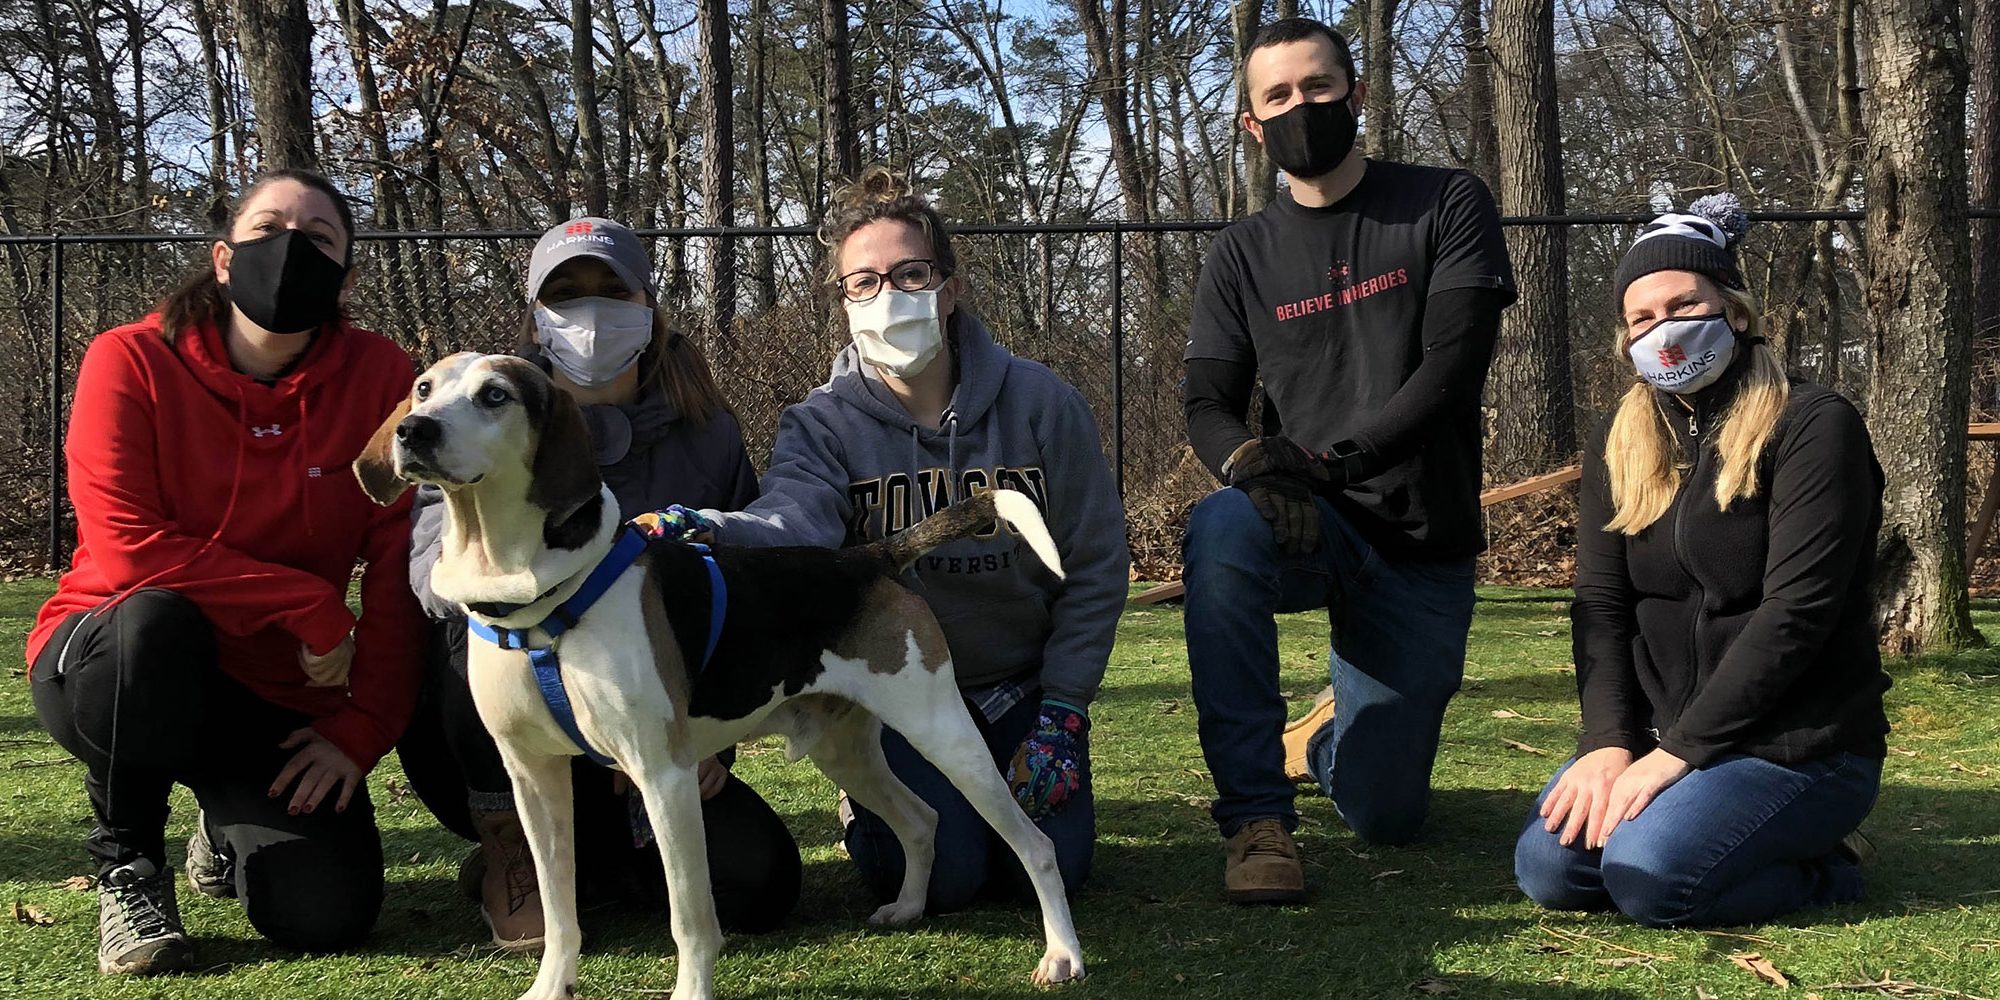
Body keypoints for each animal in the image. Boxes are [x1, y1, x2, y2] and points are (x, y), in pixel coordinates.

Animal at [360, 354, 1080, 1000]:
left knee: (1038, 844)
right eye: (423, 387)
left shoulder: (664, 778)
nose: (414, 430)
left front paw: (690, 991)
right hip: (843, 751)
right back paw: (907, 908)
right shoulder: (533, 779)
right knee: (923, 819)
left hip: (945, 735)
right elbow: (560, 912)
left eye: (495, 396)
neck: (536, 601)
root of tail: (868, 558)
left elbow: (690, 918)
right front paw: (550, 988)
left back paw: (1062, 955)